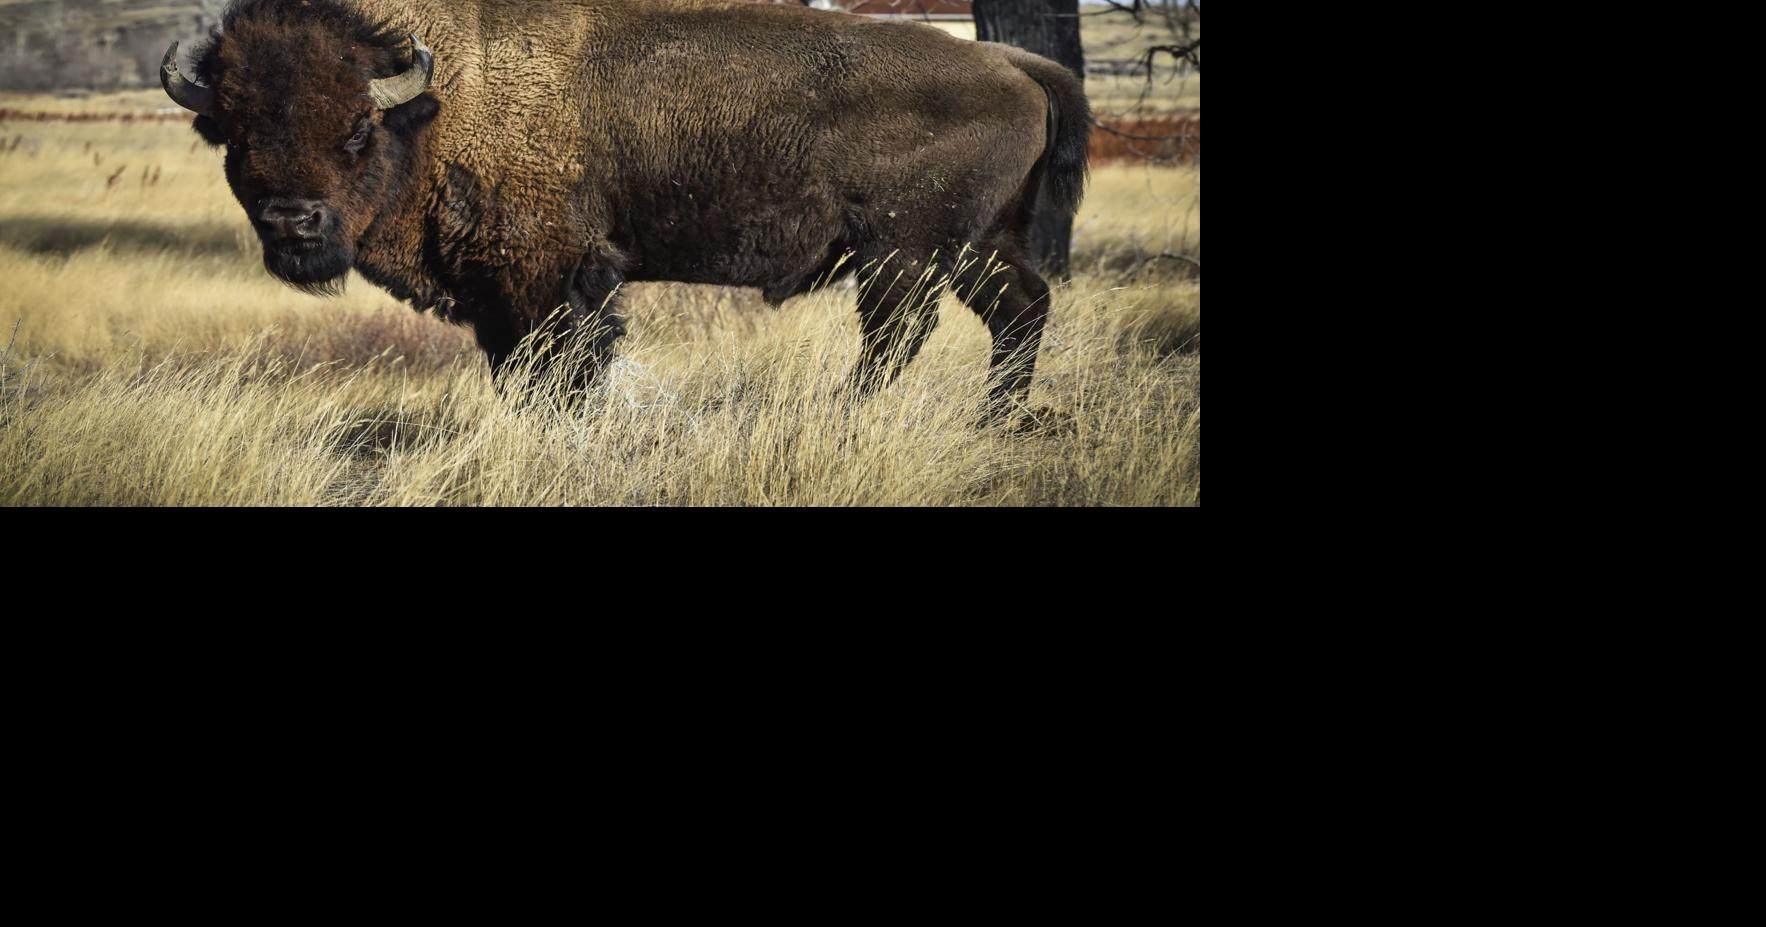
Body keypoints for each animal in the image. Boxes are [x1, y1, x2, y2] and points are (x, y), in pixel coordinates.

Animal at [162, 0, 1088, 417]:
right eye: (233, 133)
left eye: (357, 128)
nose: (293, 221)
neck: (433, 101)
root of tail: (1012, 62)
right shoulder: (498, 292)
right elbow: (519, 368)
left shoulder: (547, 277)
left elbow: (558, 365)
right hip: (978, 246)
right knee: (1021, 308)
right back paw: (1000, 416)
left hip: (905, 252)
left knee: (896, 335)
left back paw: (851, 411)